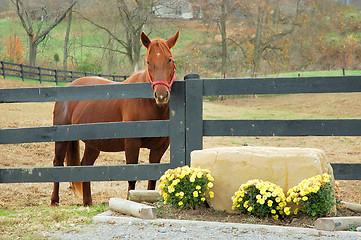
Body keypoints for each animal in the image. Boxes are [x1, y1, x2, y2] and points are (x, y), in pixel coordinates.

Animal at [50, 31, 179, 206]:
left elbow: (152, 178)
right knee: (57, 163)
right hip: (62, 140)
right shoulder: (132, 144)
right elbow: (132, 177)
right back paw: (54, 200)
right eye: (148, 62)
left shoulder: (160, 147)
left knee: (85, 165)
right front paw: (129, 200)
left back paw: (87, 202)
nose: (161, 95)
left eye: (169, 59)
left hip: (93, 145)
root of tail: (69, 87)